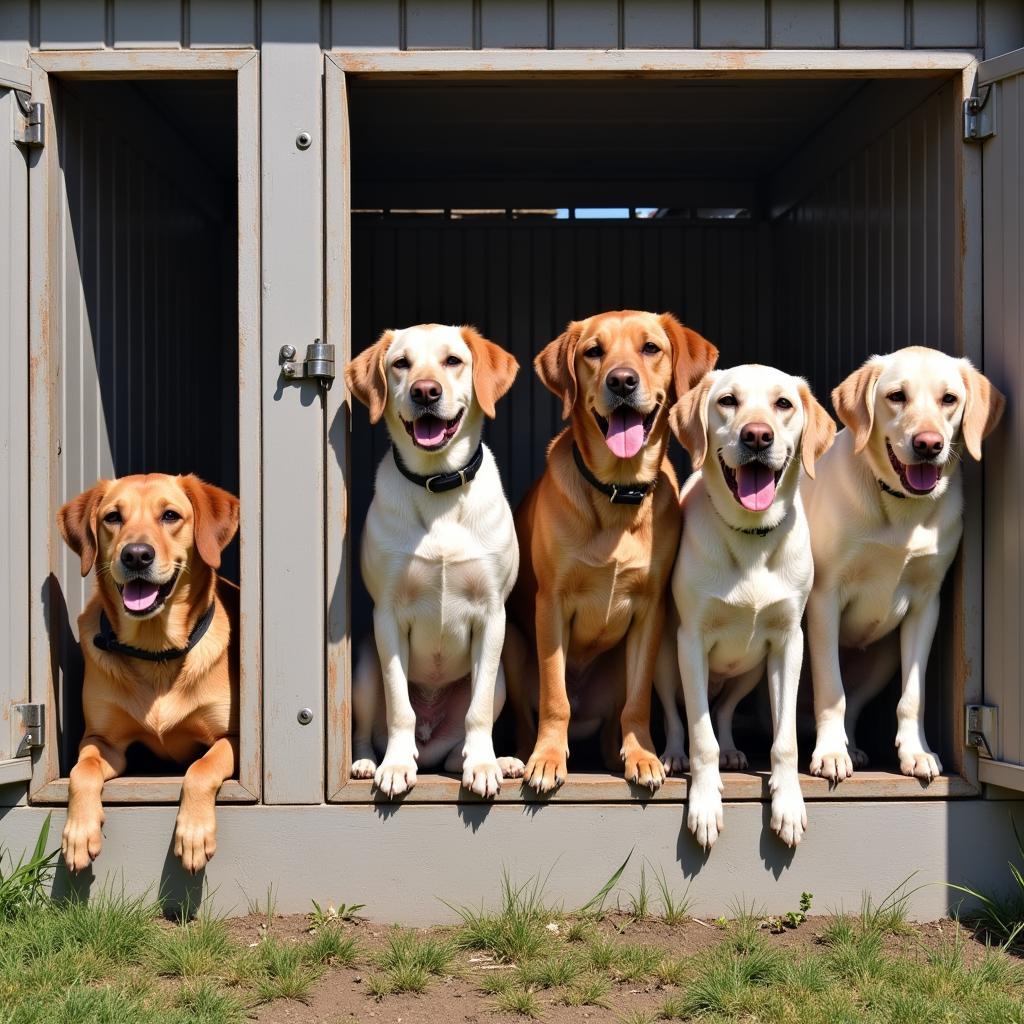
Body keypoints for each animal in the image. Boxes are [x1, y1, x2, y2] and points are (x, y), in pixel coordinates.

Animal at [59, 475, 241, 876]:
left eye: (170, 515)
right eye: (113, 517)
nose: (136, 555)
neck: (156, 652)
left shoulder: (232, 738)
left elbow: (201, 767)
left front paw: (193, 833)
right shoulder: (103, 740)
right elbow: (82, 771)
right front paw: (79, 832)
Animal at [505, 311, 716, 790]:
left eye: (650, 348)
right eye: (593, 351)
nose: (621, 381)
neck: (618, 491)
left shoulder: (650, 609)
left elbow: (637, 703)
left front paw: (642, 756)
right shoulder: (551, 604)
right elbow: (555, 697)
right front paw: (548, 758)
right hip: (510, 644)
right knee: (530, 716)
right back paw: (525, 753)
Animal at [802, 348, 1003, 778]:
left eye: (949, 399)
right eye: (896, 396)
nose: (929, 444)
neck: (901, 509)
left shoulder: (926, 604)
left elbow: (913, 697)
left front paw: (917, 752)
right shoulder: (824, 597)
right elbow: (831, 689)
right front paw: (830, 753)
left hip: (882, 661)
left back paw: (856, 748)